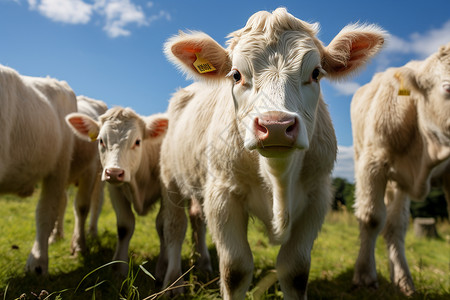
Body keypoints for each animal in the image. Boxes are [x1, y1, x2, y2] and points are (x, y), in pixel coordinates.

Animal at [65, 107, 213, 276]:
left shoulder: (166, 190)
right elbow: (124, 226)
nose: (114, 172)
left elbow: (162, 225)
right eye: (101, 140)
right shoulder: (115, 189)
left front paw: (163, 266)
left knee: (198, 217)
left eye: (137, 141)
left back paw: (203, 262)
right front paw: (118, 268)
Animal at [156, 7, 384, 300]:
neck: (278, 180)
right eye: (236, 75)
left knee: (197, 220)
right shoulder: (223, 194)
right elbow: (235, 269)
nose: (276, 125)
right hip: (170, 178)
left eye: (316, 73)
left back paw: (203, 265)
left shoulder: (317, 197)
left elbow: (295, 270)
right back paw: (173, 282)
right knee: (175, 227)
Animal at [352, 42, 450, 296]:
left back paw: (403, 279)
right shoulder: (372, 163)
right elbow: (371, 218)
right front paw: (365, 276)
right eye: (447, 88)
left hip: (400, 183)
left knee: (396, 226)